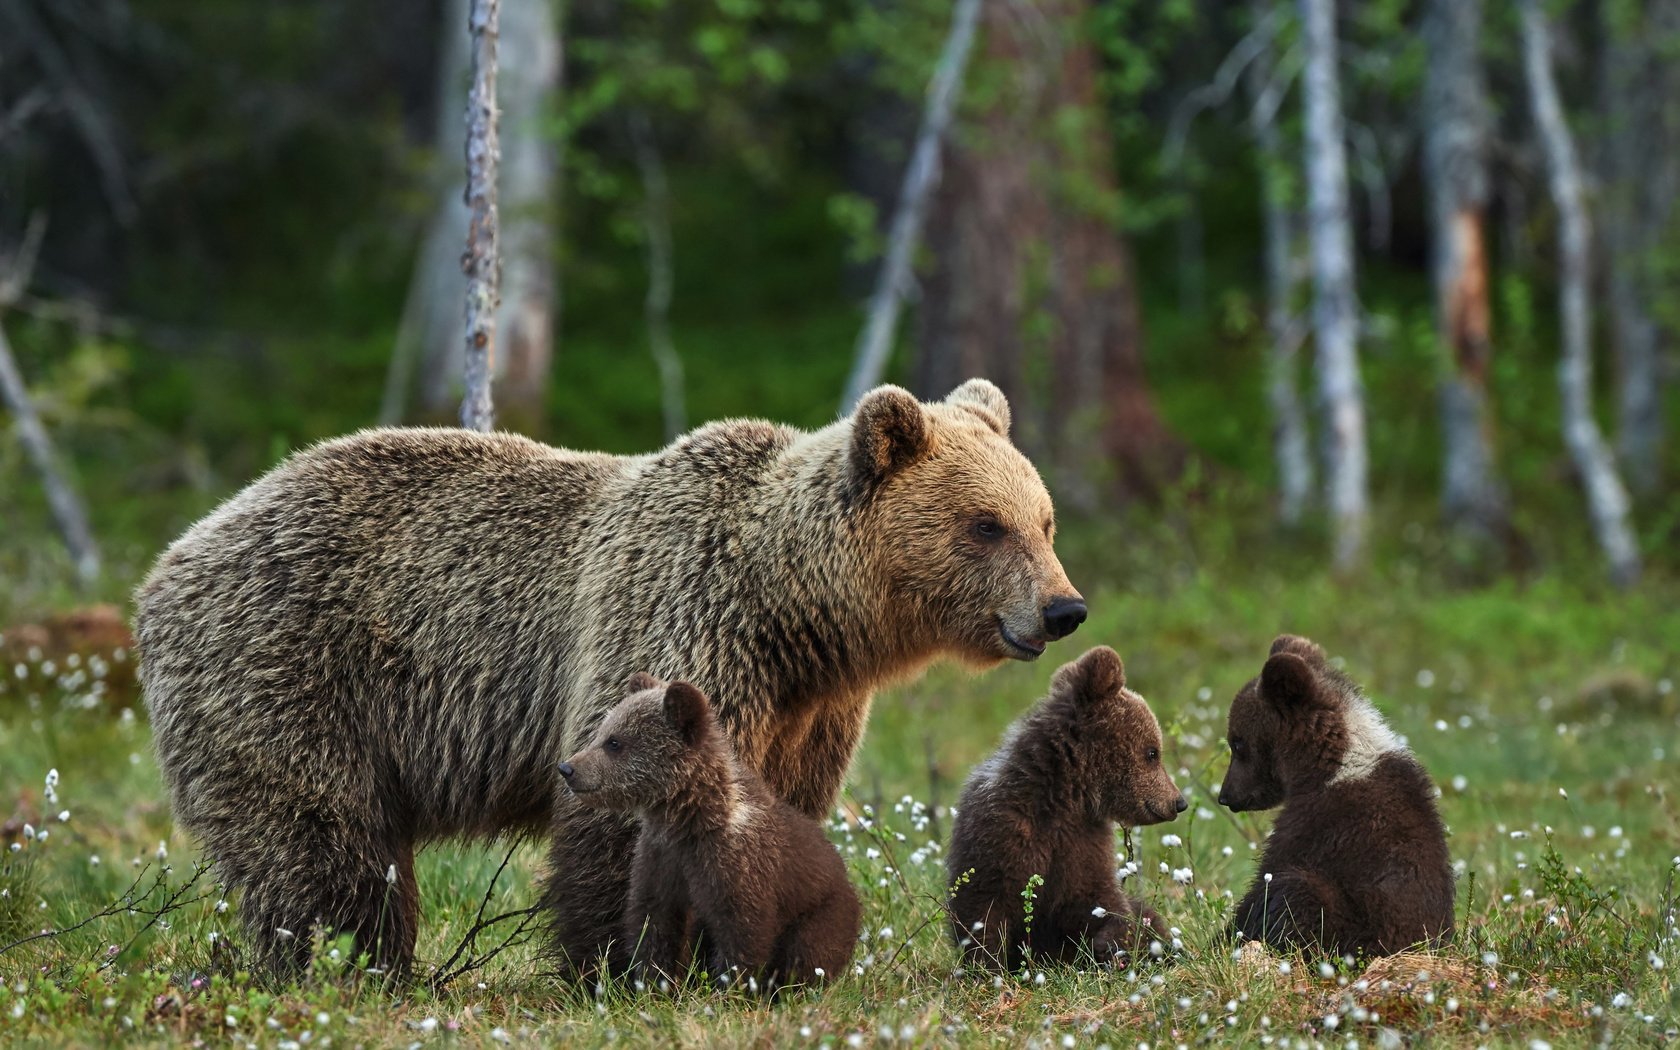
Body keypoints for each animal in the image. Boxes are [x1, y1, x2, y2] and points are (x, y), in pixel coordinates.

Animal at [127, 381, 1075, 981]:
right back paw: (353, 964)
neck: (796, 614)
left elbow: (781, 811)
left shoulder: (809, 710)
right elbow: (625, 814)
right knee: (319, 840)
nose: (1063, 608)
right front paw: (624, 966)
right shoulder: (680, 622)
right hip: (289, 672)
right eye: (986, 525)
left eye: (1045, 519)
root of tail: (171, 560)